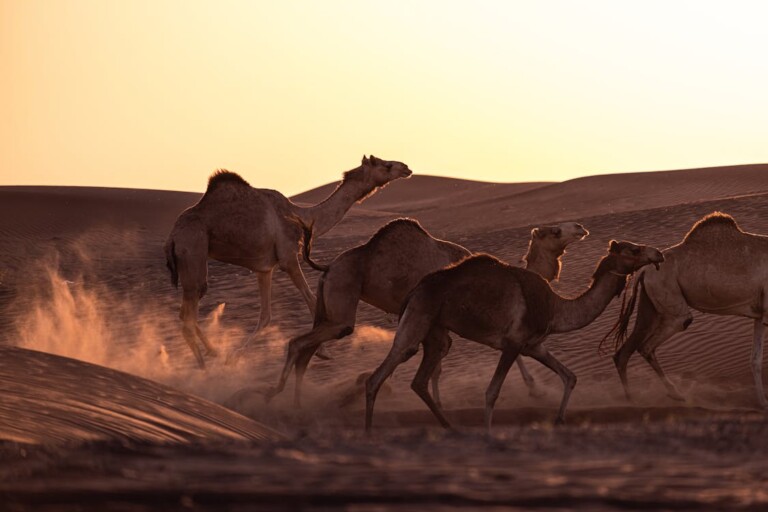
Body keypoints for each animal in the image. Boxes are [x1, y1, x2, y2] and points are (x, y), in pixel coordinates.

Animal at [164, 156, 412, 368]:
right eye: (386, 165)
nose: (406, 168)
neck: (304, 217)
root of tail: (172, 236)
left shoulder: (264, 269)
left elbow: (265, 316)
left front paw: (236, 355)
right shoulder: (289, 258)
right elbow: (311, 300)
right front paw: (323, 351)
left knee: (186, 314)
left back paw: (214, 353)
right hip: (193, 249)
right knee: (188, 316)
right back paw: (204, 367)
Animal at [264, 218, 588, 406]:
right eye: (555, 231)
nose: (581, 228)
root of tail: (328, 267)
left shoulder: (438, 321)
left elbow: (438, 364)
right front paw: (534, 389)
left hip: (326, 304)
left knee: (307, 347)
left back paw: (298, 403)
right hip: (342, 300)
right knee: (301, 342)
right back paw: (276, 395)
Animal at [364, 240, 660, 432]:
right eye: (634, 249)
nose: (658, 254)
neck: (556, 308)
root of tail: (414, 290)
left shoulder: (533, 346)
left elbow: (570, 377)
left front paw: (559, 420)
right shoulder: (513, 343)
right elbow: (492, 392)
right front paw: (488, 434)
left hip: (436, 333)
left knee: (420, 379)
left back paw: (451, 428)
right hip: (418, 317)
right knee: (381, 373)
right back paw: (368, 434)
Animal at [612, 212, 768, 408]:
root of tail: (644, 271)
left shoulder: (760, 315)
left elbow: (755, 359)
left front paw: (762, 402)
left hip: (650, 303)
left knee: (624, 351)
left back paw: (634, 399)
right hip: (671, 303)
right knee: (648, 345)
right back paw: (673, 395)